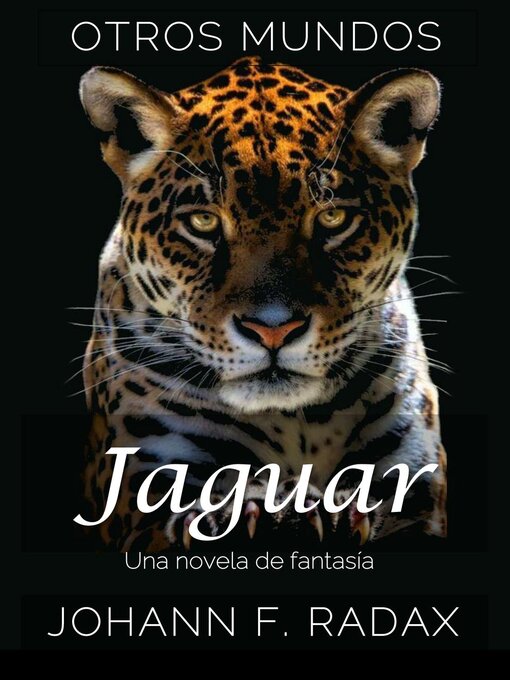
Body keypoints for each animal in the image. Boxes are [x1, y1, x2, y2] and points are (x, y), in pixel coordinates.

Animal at [78, 56, 447, 552]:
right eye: (203, 222)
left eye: (333, 218)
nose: (273, 329)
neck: (298, 420)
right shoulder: (147, 488)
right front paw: (265, 513)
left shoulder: (414, 491)